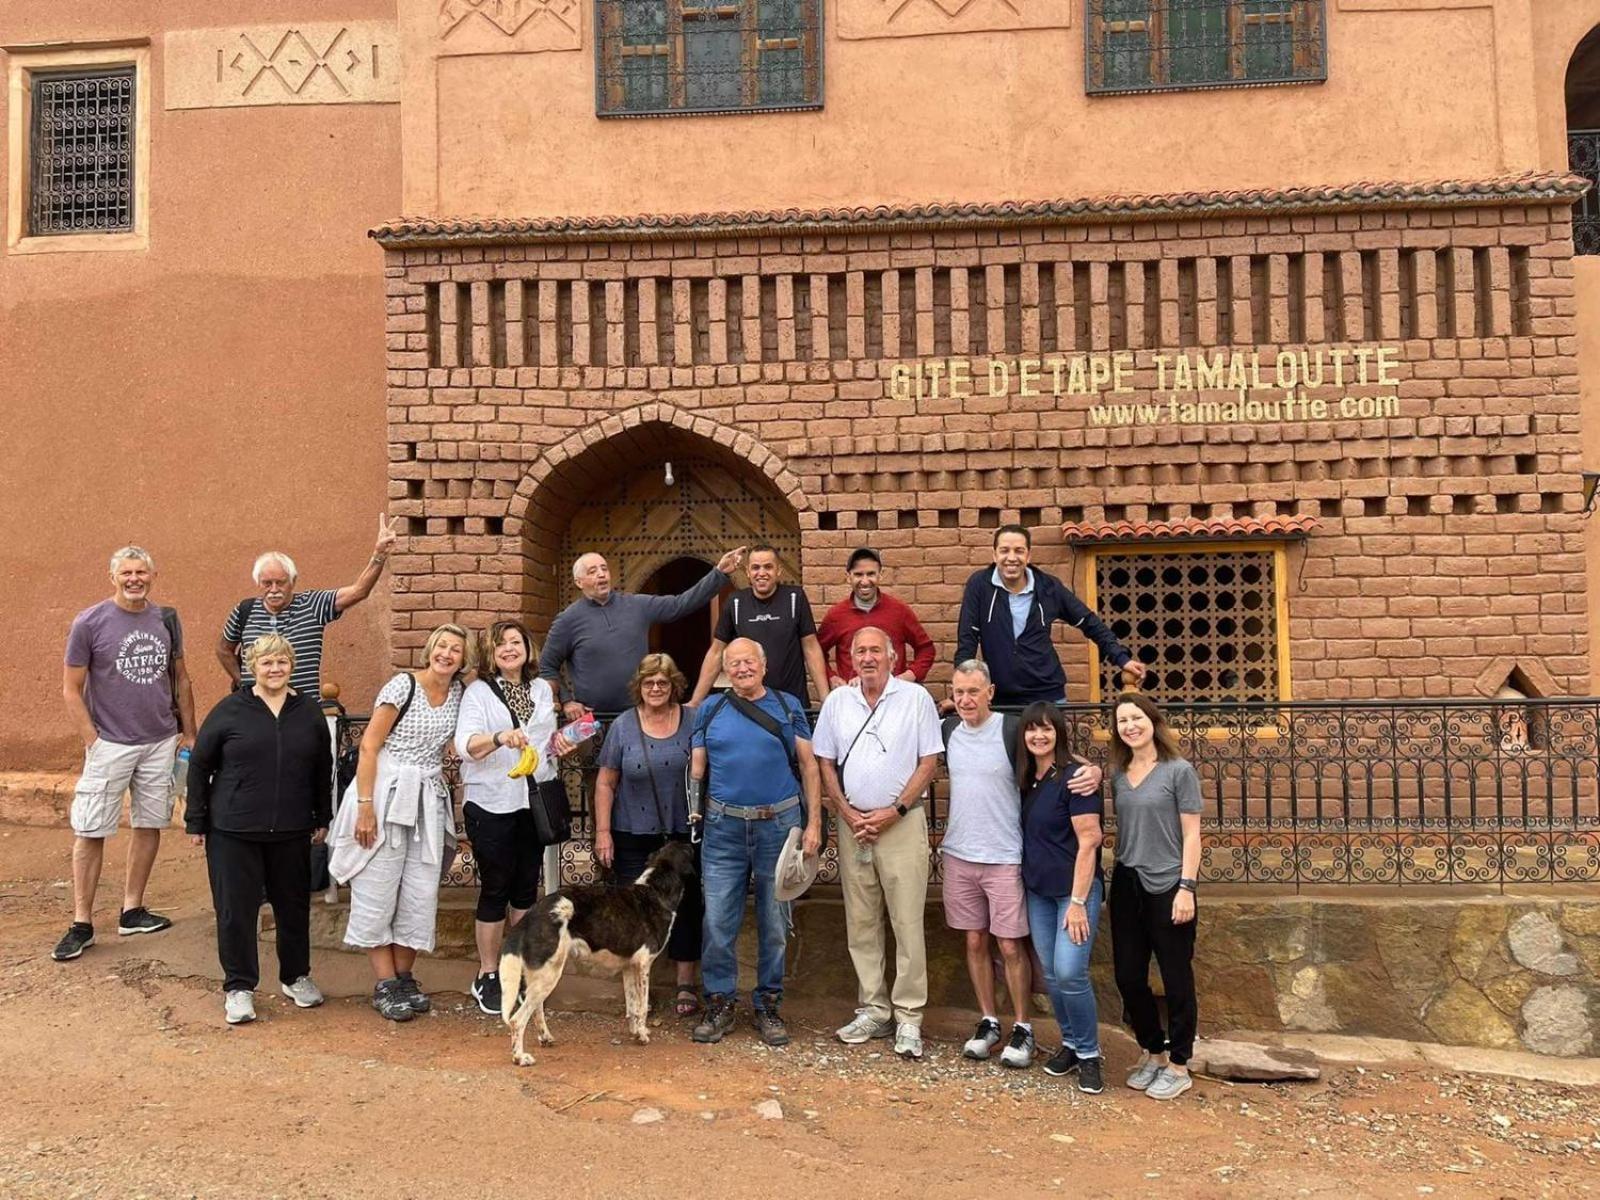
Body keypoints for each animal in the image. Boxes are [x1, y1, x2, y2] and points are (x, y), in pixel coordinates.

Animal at [496, 838, 697, 1068]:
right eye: (688, 849)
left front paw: (636, 1032)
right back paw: (520, 1057)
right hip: (550, 973)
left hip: (540, 974)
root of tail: (531, 913)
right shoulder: (644, 964)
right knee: (517, 1019)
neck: (654, 891)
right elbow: (643, 1006)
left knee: (535, 1008)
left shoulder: (629, 967)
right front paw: (642, 1036)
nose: (694, 842)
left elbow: (632, 1006)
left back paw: (545, 1038)